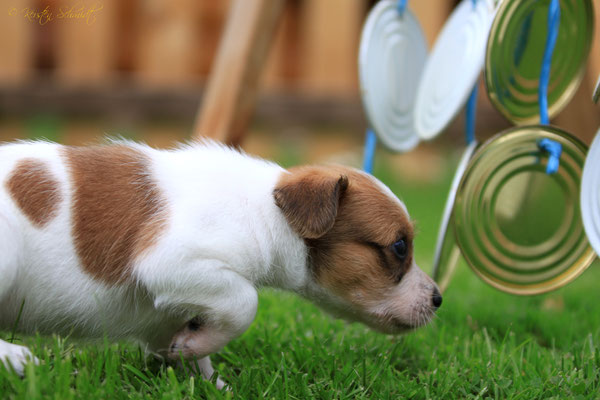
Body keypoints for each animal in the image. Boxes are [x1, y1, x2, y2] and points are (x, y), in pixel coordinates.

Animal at [0, 140, 440, 384]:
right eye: (399, 247)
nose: (438, 299)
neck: (267, 208)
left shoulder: (168, 312)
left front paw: (206, 378)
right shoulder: (172, 261)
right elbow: (245, 302)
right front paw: (195, 348)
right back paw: (17, 358)